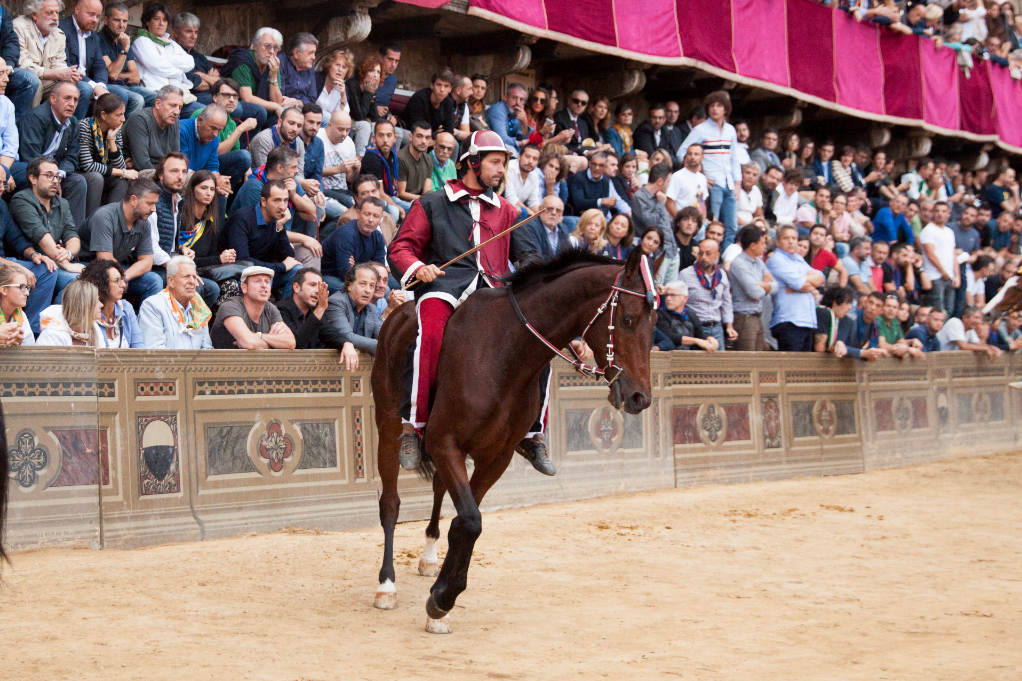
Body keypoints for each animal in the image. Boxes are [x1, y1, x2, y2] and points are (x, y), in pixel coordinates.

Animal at [372, 248, 658, 629]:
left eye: (653, 324)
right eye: (627, 319)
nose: (641, 397)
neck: (505, 353)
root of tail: (396, 316)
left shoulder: (496, 455)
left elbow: (466, 521)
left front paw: (441, 598)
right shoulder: (445, 443)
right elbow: (470, 521)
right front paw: (442, 599)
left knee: (438, 491)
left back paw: (429, 557)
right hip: (389, 426)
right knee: (390, 504)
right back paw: (386, 585)